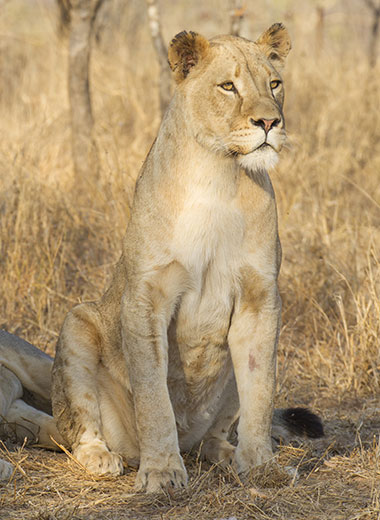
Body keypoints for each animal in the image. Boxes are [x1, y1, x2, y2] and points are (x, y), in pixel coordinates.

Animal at [0, 25, 324, 492]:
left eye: (275, 84)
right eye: (228, 86)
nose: (269, 122)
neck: (219, 175)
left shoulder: (261, 297)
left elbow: (261, 389)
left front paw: (262, 465)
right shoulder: (146, 296)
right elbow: (154, 396)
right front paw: (161, 472)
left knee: (214, 435)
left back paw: (228, 455)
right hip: (78, 322)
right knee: (70, 426)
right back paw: (103, 457)